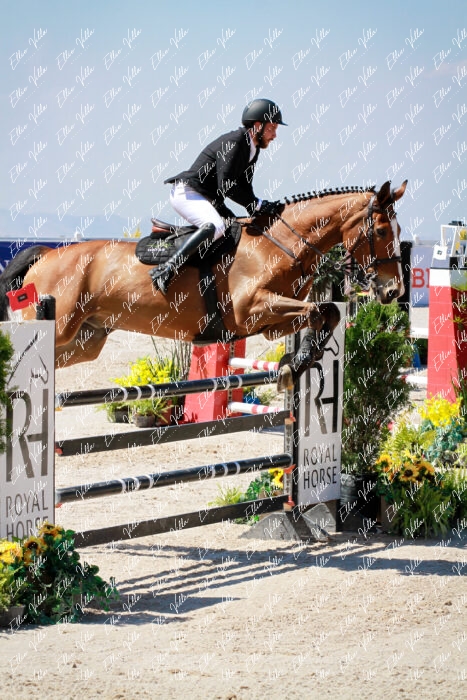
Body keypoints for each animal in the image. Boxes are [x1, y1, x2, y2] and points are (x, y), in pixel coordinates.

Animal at [0, 180, 407, 390]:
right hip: (57, 328)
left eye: (398, 231)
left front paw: (296, 364)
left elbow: (325, 314)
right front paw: (296, 365)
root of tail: (46, 255)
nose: (393, 292)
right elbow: (321, 310)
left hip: (85, 340)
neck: (280, 243)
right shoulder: (251, 310)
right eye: (382, 231)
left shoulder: (270, 324)